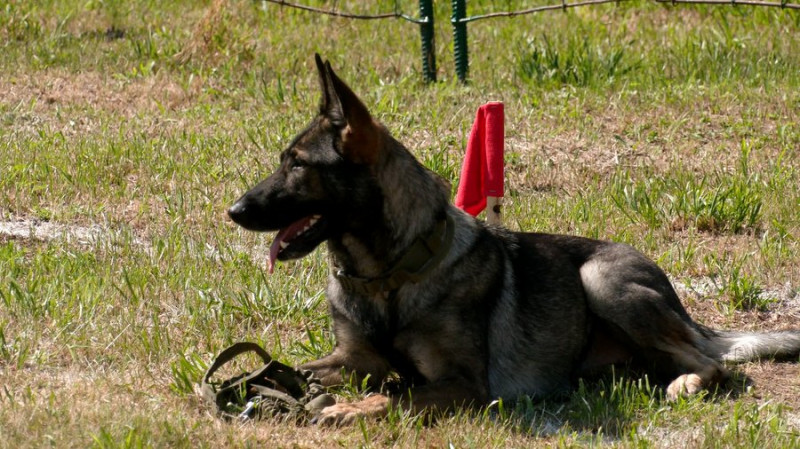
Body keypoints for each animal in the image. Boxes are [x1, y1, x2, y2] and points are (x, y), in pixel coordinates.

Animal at [228, 55, 800, 424]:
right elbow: (276, 370)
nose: (233, 211)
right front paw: (257, 389)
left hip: (600, 280)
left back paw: (686, 382)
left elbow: (398, 397)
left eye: (297, 165)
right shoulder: (352, 360)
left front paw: (348, 407)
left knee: (713, 363)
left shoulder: (464, 384)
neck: (387, 278)